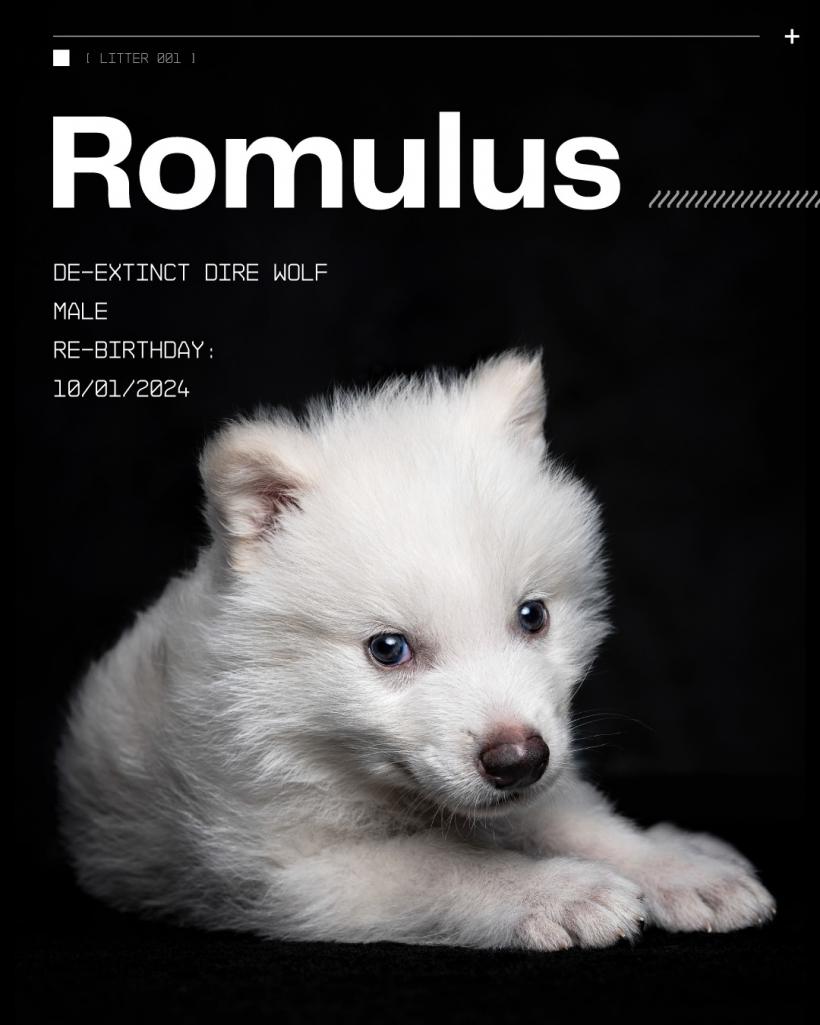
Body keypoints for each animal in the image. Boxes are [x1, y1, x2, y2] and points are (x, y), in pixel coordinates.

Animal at [57, 352, 775, 948]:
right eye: (388, 649)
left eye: (533, 616)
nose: (518, 761)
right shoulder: (286, 867)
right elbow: (440, 863)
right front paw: (556, 892)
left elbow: (579, 819)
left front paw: (674, 869)